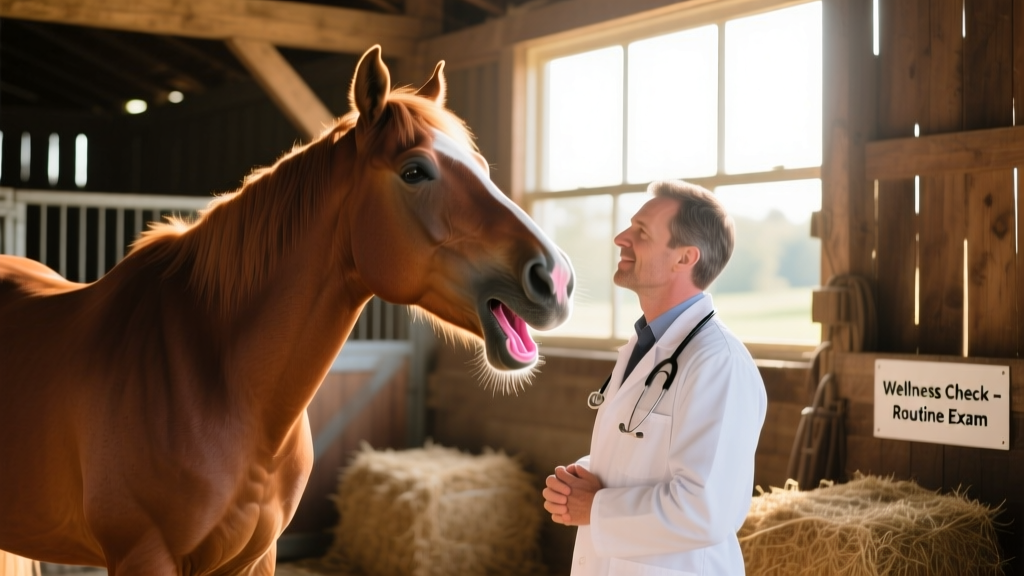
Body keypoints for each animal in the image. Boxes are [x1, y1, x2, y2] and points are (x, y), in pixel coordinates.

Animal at [0, 45, 574, 575]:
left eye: (482, 167)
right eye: (415, 171)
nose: (555, 278)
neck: (216, 381)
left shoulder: (256, 556)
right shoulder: (145, 555)